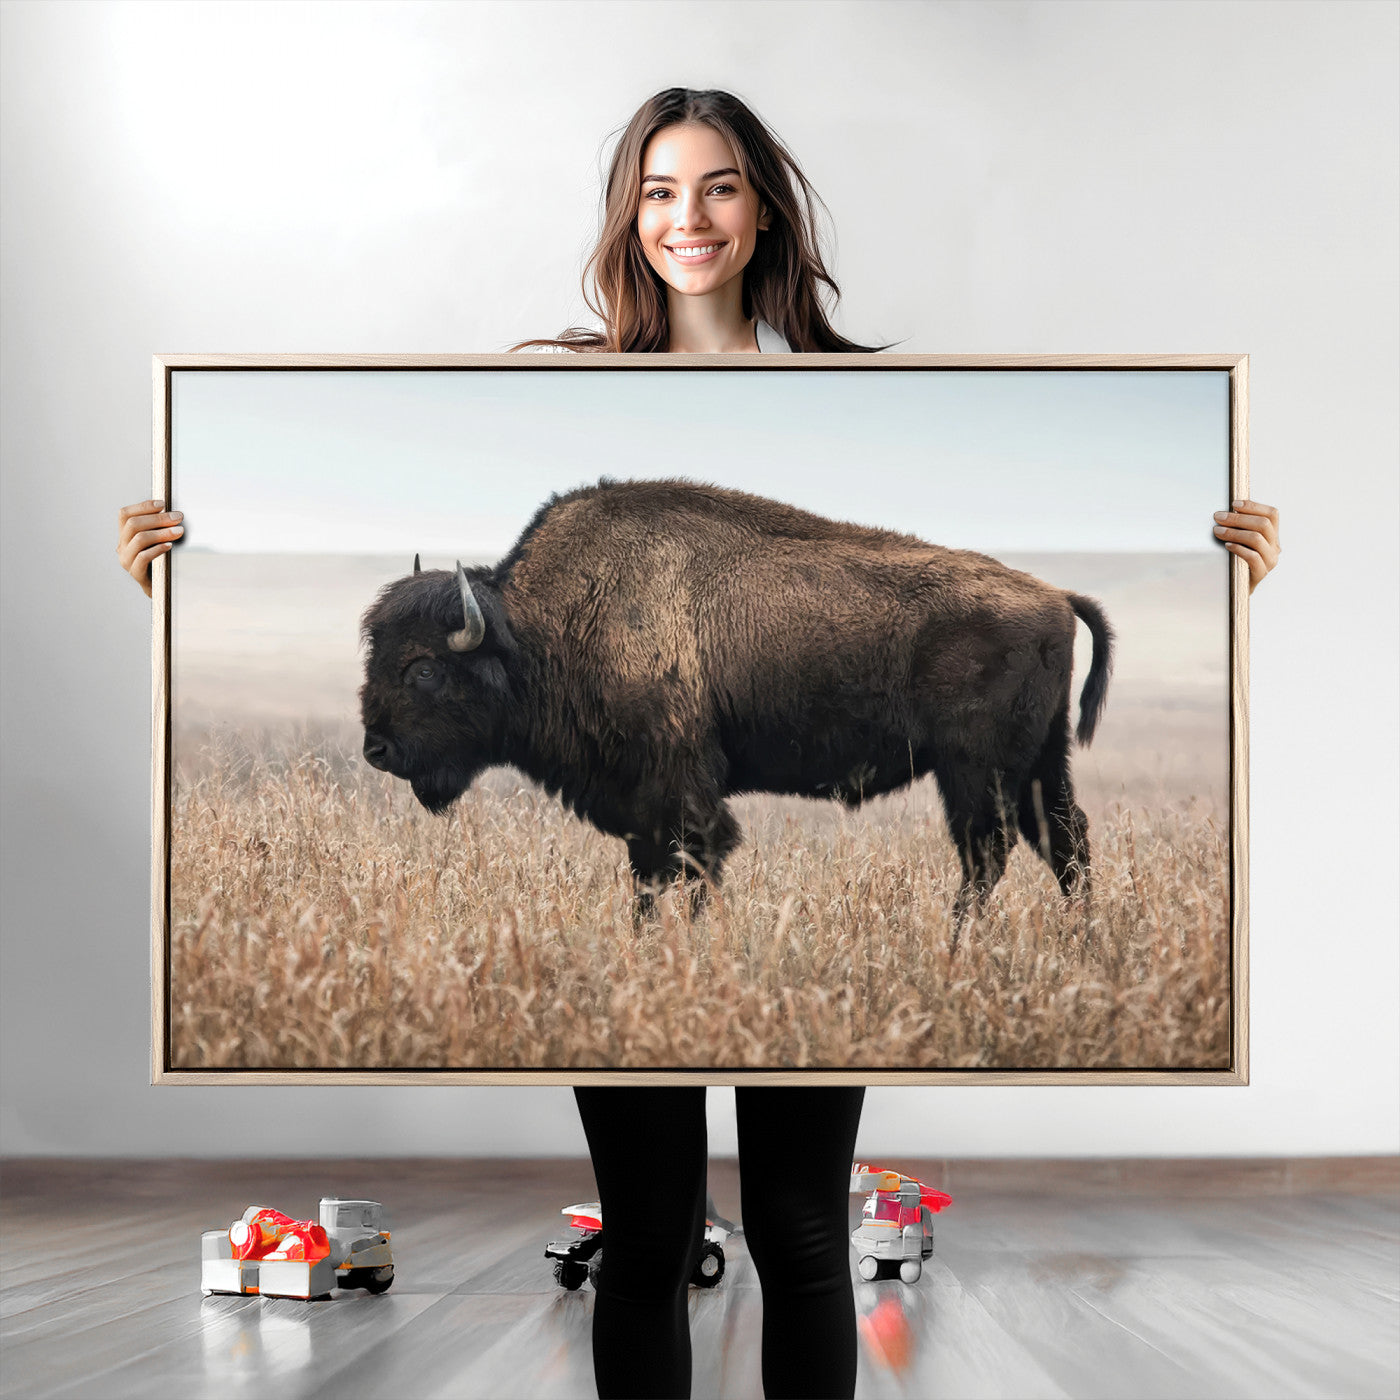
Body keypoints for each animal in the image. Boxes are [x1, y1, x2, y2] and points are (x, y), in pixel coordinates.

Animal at [358, 477, 1113, 931]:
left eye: (423, 668)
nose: (376, 749)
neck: (540, 629)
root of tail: (1054, 595)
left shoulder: (681, 792)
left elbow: (694, 864)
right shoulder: (641, 808)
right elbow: (649, 878)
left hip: (975, 770)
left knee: (988, 852)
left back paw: (957, 944)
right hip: (1039, 763)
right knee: (1064, 842)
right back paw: (1080, 942)